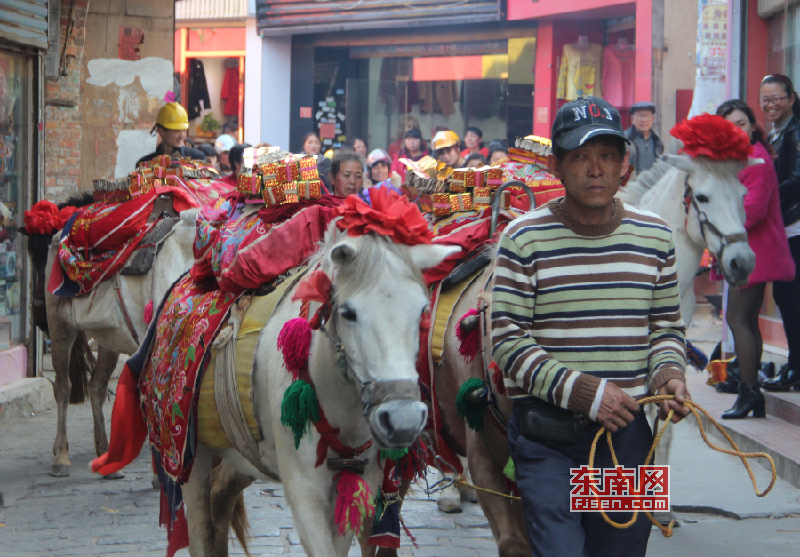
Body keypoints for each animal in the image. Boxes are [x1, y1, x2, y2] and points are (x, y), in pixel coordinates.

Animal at [180, 223, 456, 556]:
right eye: (348, 312)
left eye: (422, 310)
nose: (403, 420)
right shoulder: (304, 492)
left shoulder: (359, 484)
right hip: (189, 455)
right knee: (199, 525)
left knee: (221, 494)